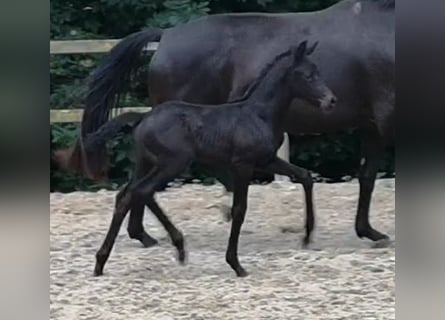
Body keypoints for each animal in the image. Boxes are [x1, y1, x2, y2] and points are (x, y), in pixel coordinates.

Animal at [57, 0, 394, 245]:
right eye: (309, 74)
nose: (329, 99)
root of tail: (165, 36)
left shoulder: (372, 125)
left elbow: (367, 176)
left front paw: (369, 231)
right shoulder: (386, 119)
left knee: (138, 183)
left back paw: (144, 235)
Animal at [90, 39, 334, 276]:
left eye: (317, 71)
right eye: (307, 75)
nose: (330, 100)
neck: (258, 114)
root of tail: (144, 118)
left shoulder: (267, 160)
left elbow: (305, 176)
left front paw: (307, 236)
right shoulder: (243, 165)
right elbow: (239, 209)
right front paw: (235, 264)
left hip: (148, 162)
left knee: (128, 194)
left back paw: (108, 260)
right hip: (173, 163)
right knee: (141, 191)